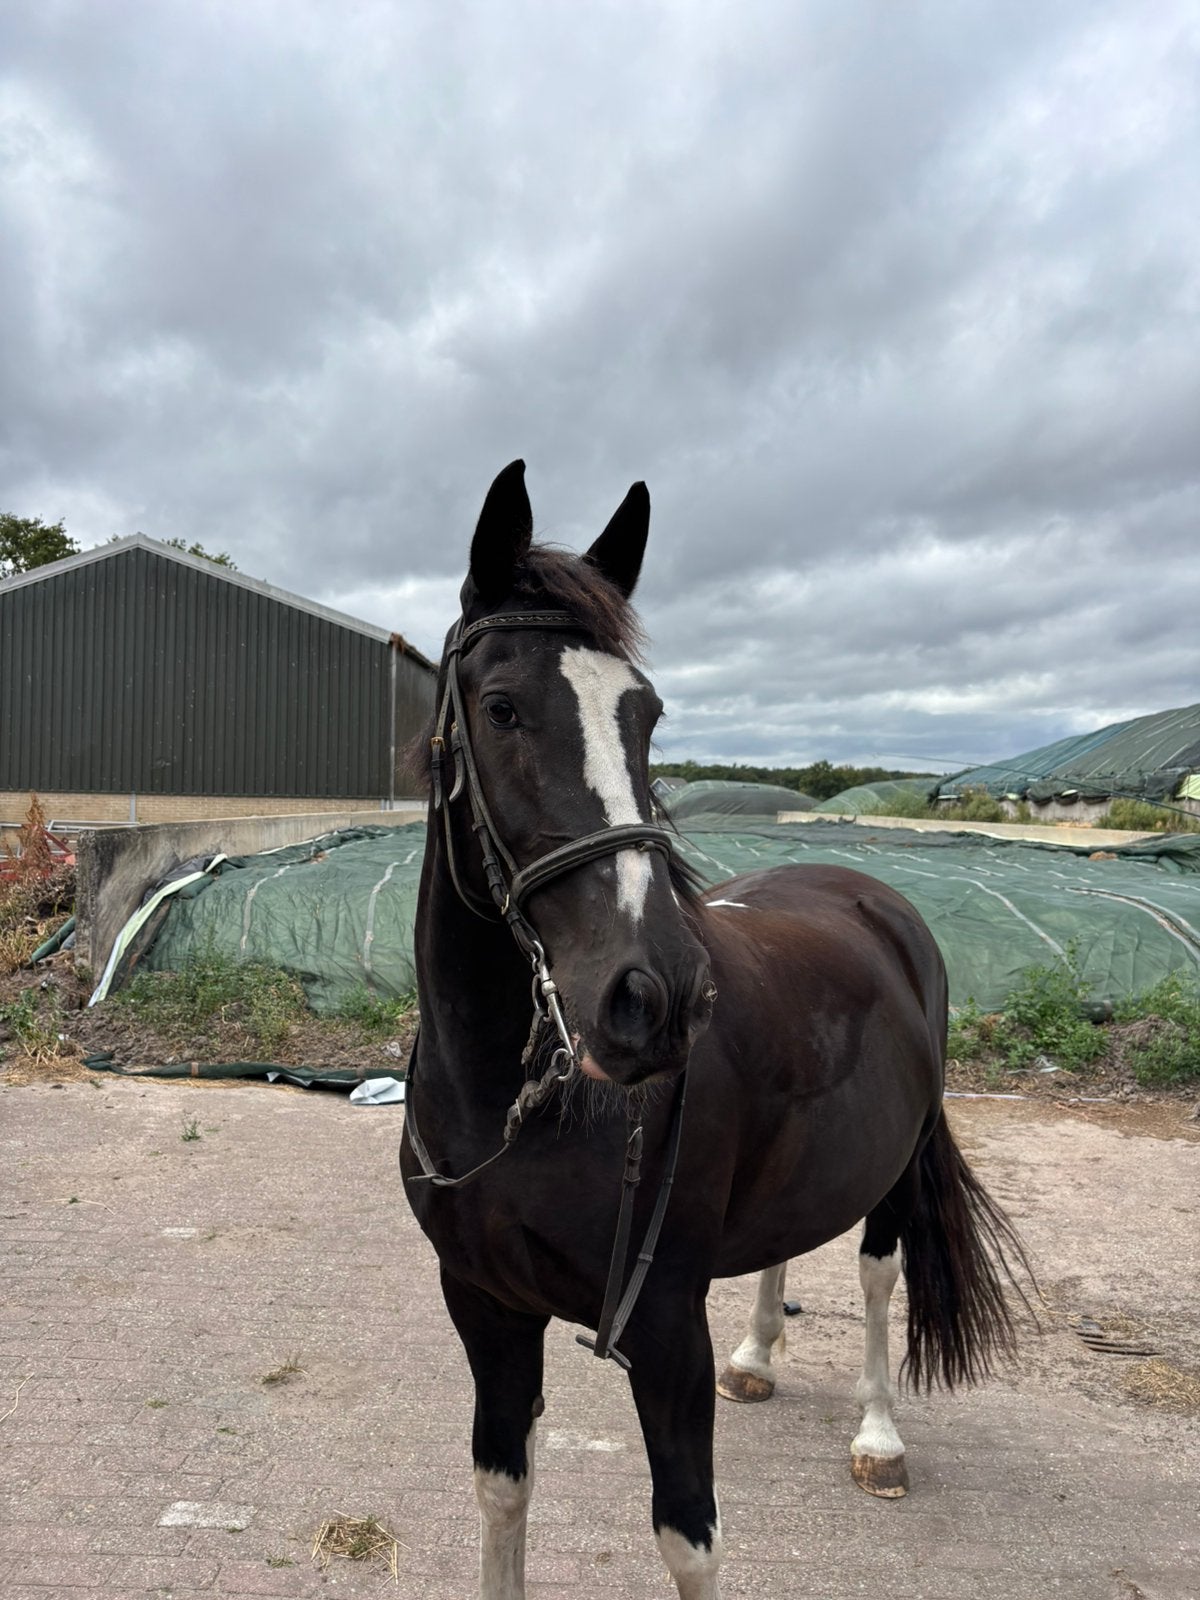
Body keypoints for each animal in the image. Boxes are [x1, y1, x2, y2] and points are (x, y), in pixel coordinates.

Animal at [400, 461, 1028, 1600]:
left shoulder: (661, 1330)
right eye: (502, 707)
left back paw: (879, 1435)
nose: (654, 997)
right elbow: (503, 1492)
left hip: (895, 1169)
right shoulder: (484, 1305)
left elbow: (689, 1534)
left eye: (646, 715)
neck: (514, 1109)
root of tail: (870, 897)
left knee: (878, 1274)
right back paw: (759, 1357)